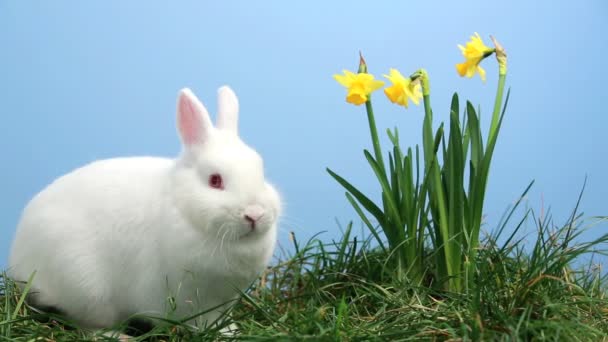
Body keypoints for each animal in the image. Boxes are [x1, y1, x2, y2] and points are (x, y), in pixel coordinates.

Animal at [7, 87, 282, 332]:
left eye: (261, 171)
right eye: (215, 180)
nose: (255, 214)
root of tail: (18, 258)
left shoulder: (224, 300)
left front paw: (231, 331)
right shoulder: (188, 299)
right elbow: (200, 321)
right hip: (87, 290)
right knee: (86, 325)